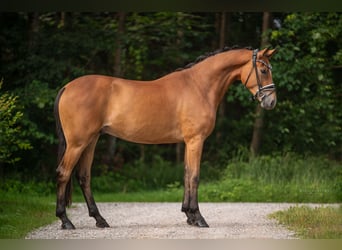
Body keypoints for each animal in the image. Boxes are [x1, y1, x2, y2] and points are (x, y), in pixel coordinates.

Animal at [54, 46, 278, 229]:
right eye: (264, 70)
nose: (271, 102)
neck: (199, 86)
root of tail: (67, 87)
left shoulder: (188, 142)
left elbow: (186, 174)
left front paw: (189, 215)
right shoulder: (196, 140)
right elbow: (195, 176)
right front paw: (198, 218)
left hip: (90, 141)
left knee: (84, 176)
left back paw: (99, 219)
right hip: (77, 143)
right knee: (63, 173)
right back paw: (65, 220)